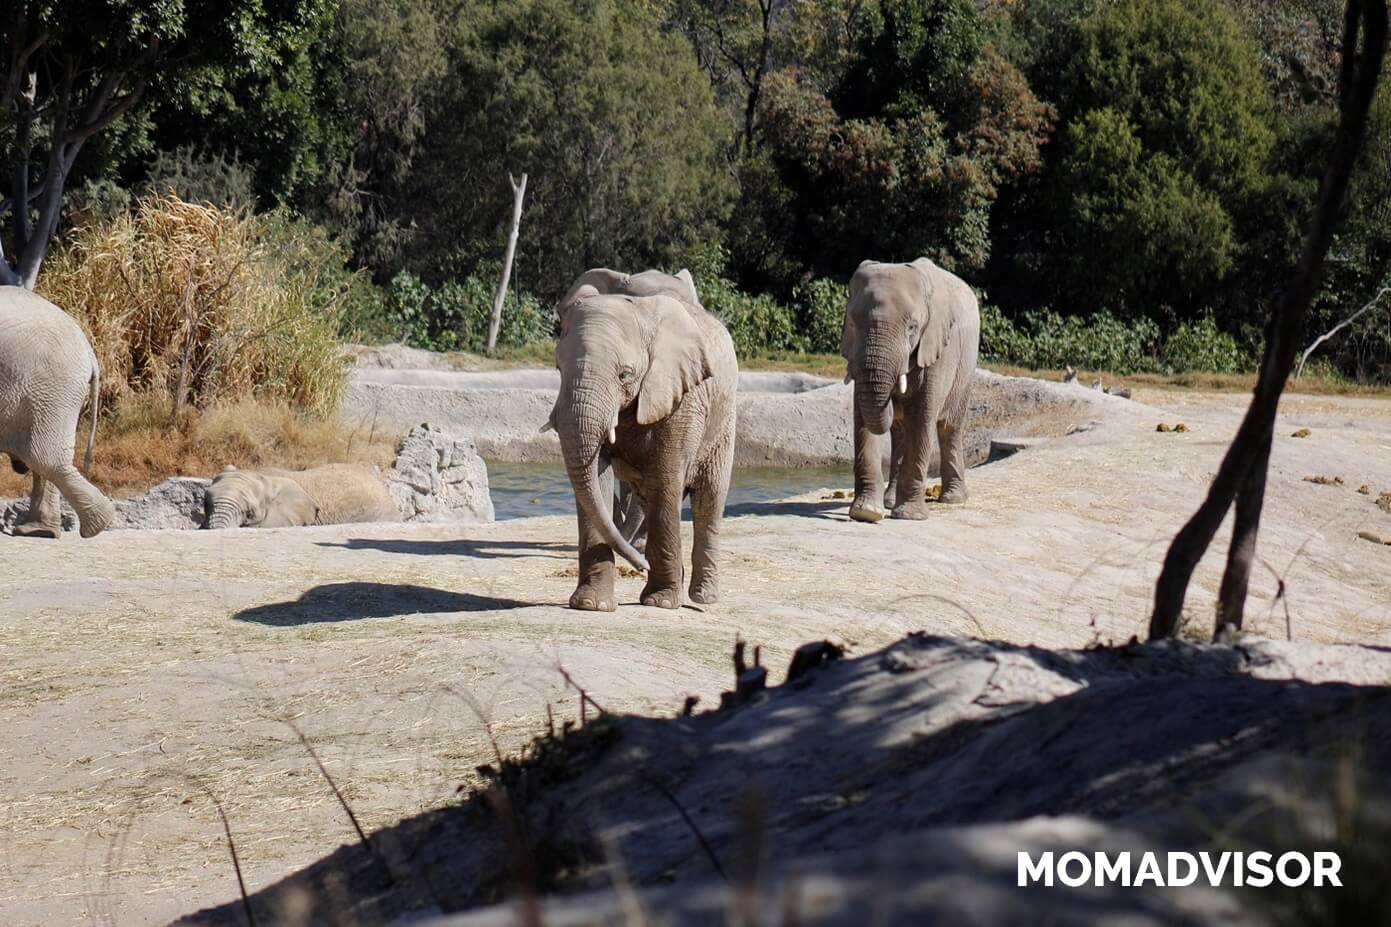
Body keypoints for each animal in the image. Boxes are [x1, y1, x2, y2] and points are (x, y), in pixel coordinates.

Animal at [0, 287, 115, 538]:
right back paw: (40, 529)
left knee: (44, 457)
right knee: (41, 457)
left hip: (52, 387)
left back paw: (96, 524)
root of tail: (88, 350)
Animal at [547, 272, 738, 611]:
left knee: (709, 500)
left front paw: (660, 603)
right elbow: (597, 478)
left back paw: (703, 597)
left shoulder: (681, 397)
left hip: (724, 421)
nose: (639, 566)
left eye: (625, 374)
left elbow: (665, 478)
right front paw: (590, 605)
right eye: (558, 368)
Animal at [841, 258, 980, 523]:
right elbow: (862, 416)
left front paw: (909, 516)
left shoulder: (937, 348)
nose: (894, 394)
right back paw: (888, 501)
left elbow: (922, 417)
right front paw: (866, 512)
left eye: (912, 328)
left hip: (966, 367)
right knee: (899, 432)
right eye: (851, 323)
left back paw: (953, 499)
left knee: (948, 428)